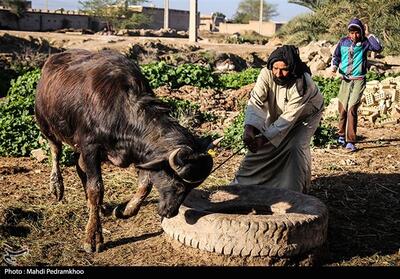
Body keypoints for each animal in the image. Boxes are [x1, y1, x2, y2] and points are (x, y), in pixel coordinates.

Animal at [35, 49, 212, 254]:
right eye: (177, 184)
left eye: (191, 188)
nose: (170, 212)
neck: (119, 109)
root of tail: (50, 62)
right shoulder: (90, 148)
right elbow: (96, 188)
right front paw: (93, 237)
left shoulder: (141, 154)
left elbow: (144, 186)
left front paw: (124, 210)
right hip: (47, 125)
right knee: (56, 151)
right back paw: (57, 186)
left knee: (79, 168)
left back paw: (100, 206)